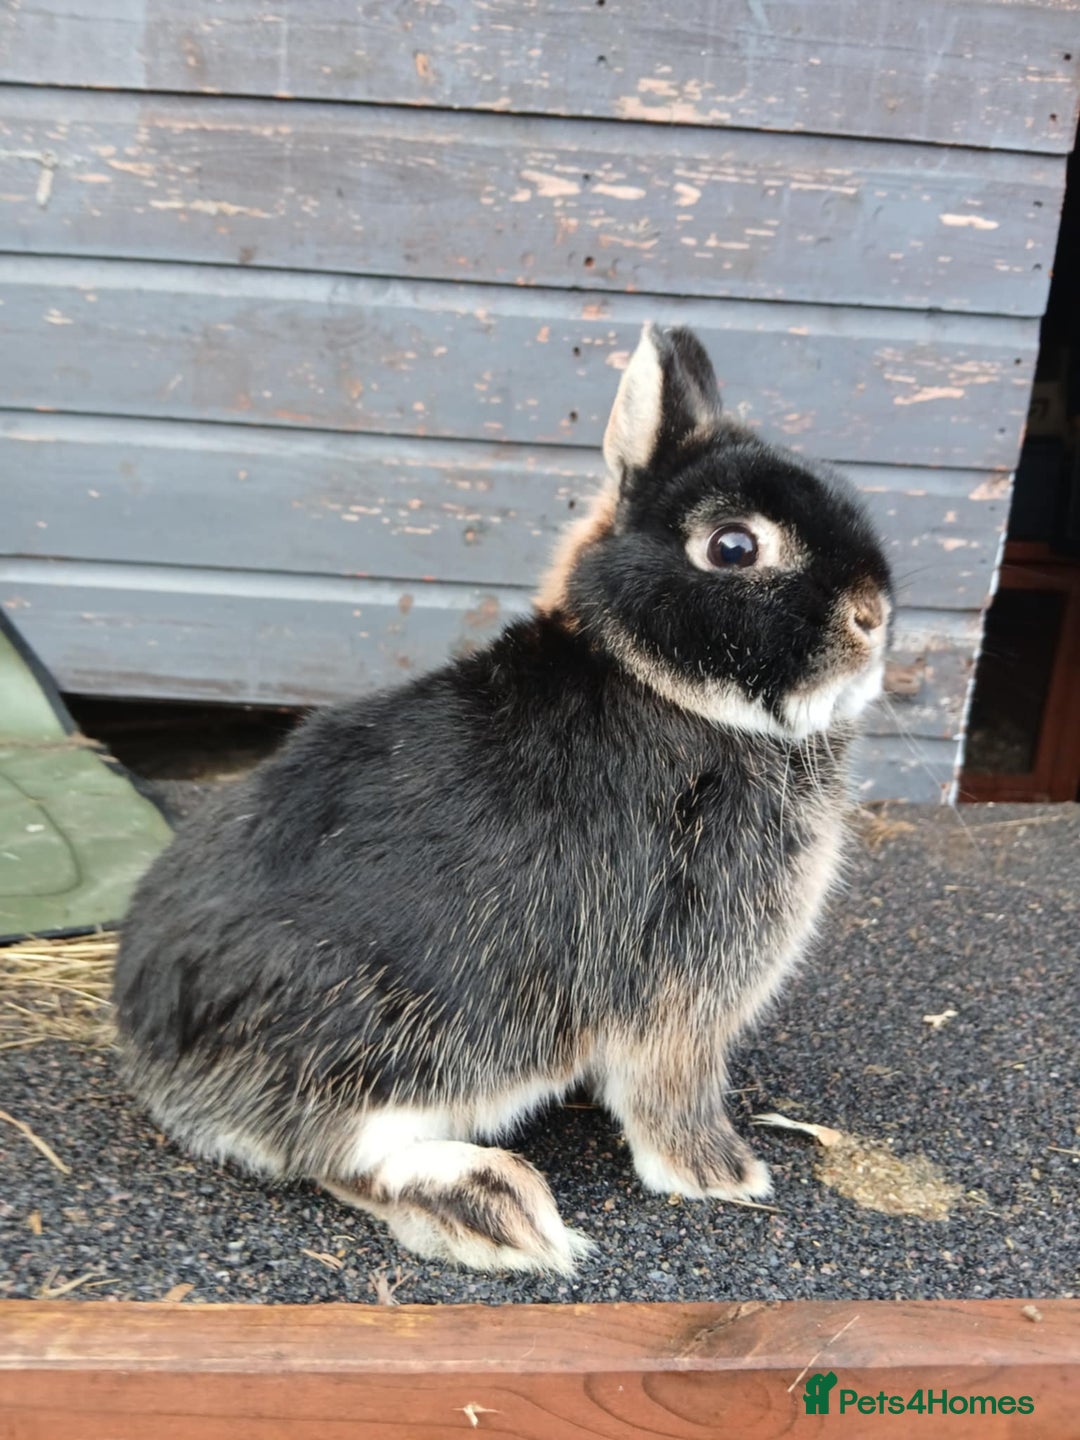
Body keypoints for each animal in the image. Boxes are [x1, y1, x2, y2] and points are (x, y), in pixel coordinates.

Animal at [113, 323, 892, 1275]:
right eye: (734, 547)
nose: (873, 616)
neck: (659, 683)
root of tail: (152, 1050)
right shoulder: (682, 980)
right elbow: (672, 1089)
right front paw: (721, 1174)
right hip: (400, 1044)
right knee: (340, 1156)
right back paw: (497, 1205)